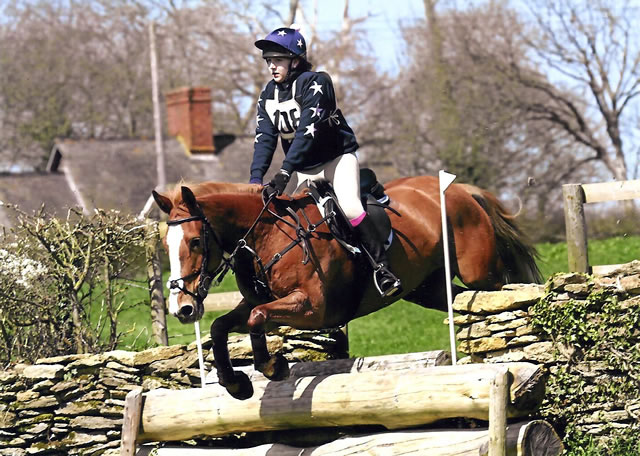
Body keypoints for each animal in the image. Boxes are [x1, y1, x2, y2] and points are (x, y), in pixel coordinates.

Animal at [152, 175, 544, 400]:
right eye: (166, 245)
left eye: (196, 242)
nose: (183, 308)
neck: (267, 234)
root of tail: (462, 190)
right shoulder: (261, 303)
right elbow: (222, 326)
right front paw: (235, 384)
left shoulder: (313, 307)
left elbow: (257, 319)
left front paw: (272, 367)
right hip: (428, 288)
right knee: (459, 300)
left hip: (483, 274)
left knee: (504, 294)